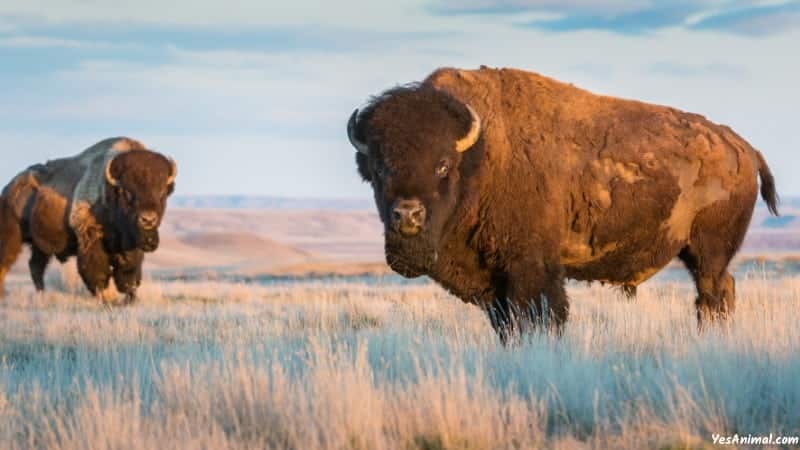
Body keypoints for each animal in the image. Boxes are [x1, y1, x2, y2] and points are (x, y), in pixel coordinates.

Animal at [0, 137, 177, 302]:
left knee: (35, 266)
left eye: (162, 193)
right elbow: (98, 273)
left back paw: (42, 294)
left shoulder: (130, 248)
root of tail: (9, 188)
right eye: (127, 192)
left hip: (40, 246)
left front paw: (130, 299)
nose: (148, 219)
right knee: (6, 264)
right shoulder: (90, 237)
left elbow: (129, 274)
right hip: (12, 238)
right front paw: (106, 299)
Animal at [346, 66, 780, 342]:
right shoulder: (495, 286)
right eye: (380, 167)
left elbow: (543, 317)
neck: (480, 156)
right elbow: (507, 326)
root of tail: (742, 146)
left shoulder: (532, 270)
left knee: (713, 293)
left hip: (708, 252)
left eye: (442, 165)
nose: (407, 214)